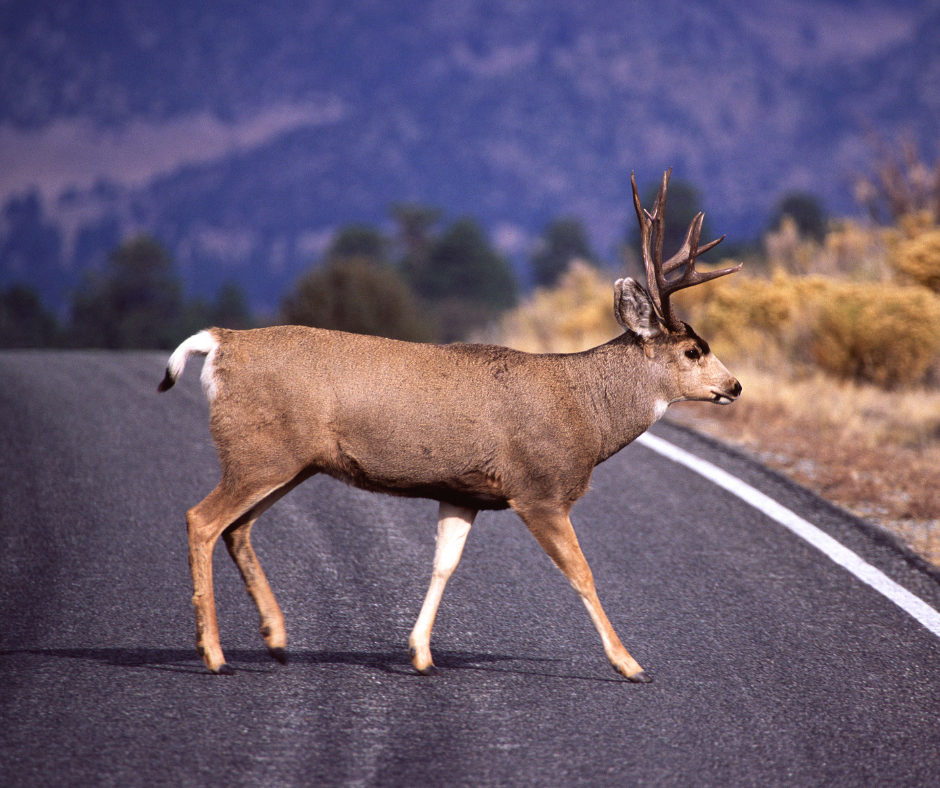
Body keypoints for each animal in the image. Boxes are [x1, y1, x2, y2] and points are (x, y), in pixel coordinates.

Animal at [157, 169, 742, 683]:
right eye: (693, 350)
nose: (735, 386)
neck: (585, 412)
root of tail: (222, 342)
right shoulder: (539, 490)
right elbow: (581, 573)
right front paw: (630, 665)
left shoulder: (463, 492)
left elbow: (444, 564)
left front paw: (420, 653)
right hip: (260, 452)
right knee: (201, 520)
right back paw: (215, 655)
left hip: (288, 462)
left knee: (237, 528)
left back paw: (276, 640)